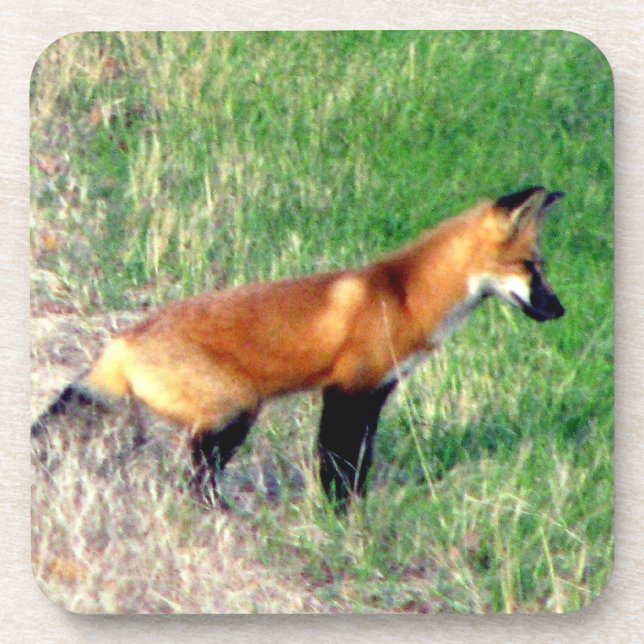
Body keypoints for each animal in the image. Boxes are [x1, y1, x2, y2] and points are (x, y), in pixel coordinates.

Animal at [32, 186, 565, 509]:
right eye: (531, 267)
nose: (559, 310)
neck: (405, 298)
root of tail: (123, 339)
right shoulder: (347, 391)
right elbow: (335, 462)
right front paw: (337, 515)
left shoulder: (376, 393)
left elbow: (359, 463)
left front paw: (357, 509)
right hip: (236, 410)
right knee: (195, 480)